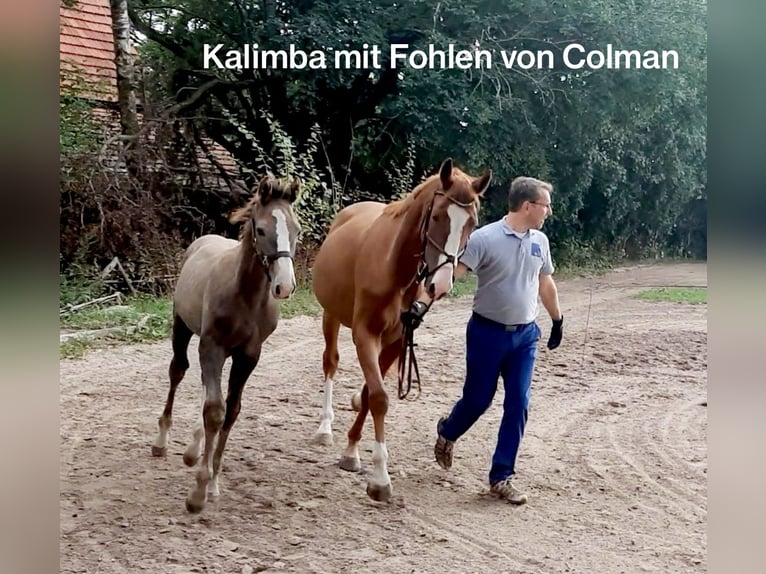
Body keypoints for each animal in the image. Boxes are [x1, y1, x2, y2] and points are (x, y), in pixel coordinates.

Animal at [150, 174, 301, 513]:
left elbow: (230, 411)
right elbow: (215, 411)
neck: (245, 297)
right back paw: (162, 442)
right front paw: (198, 492)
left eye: (296, 230)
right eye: (262, 230)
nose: (284, 286)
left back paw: (193, 449)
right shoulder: (212, 348)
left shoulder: (248, 356)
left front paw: (214, 481)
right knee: (178, 371)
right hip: (182, 327)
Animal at [310, 158, 491, 502]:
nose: (440, 285)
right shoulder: (364, 335)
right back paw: (324, 427)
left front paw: (352, 450)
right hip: (331, 315)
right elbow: (380, 398)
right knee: (330, 362)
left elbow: (370, 394)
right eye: (437, 216)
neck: (393, 267)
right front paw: (380, 477)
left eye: (472, 224)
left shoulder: (396, 341)